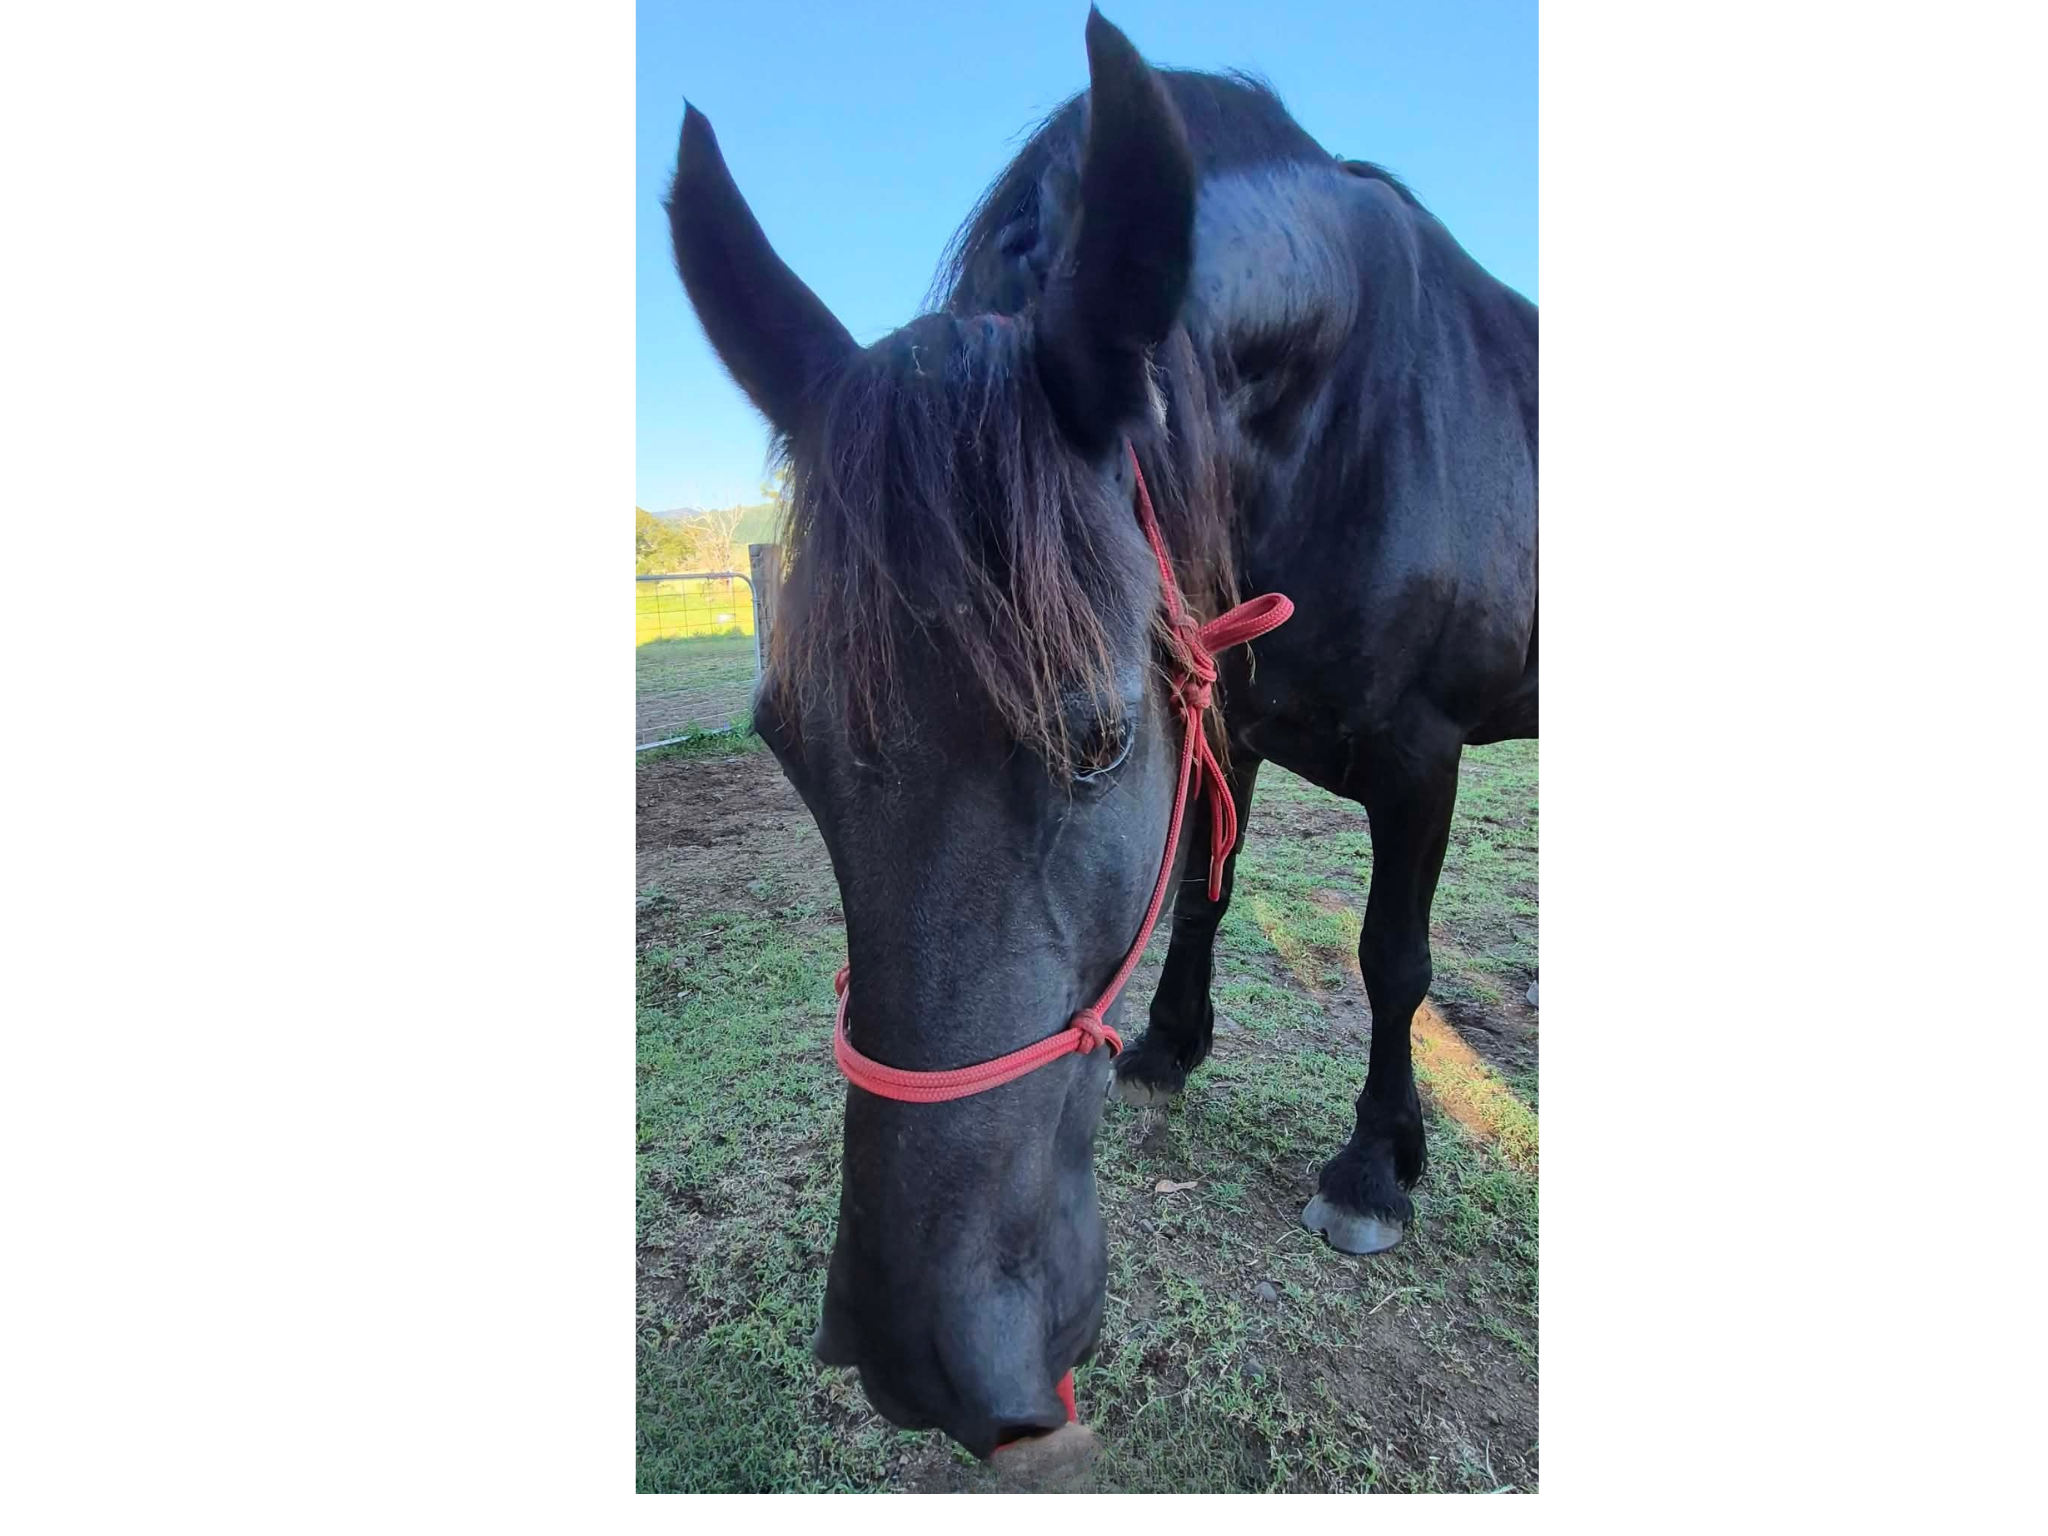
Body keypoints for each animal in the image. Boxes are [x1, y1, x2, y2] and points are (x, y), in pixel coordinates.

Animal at [665, 8, 1536, 1461]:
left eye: (1094, 740)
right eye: (785, 746)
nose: (921, 1362)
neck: (1350, 415)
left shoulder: (1422, 758)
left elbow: (1392, 960)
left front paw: (1373, 1166)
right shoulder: (1227, 708)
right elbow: (1203, 890)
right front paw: (1173, 1045)